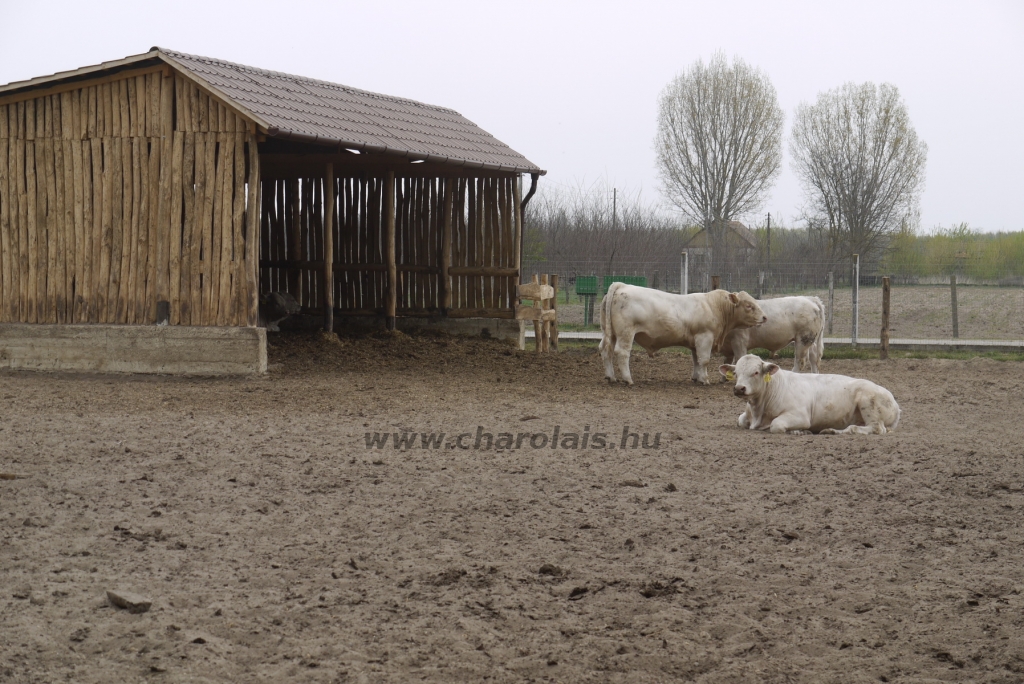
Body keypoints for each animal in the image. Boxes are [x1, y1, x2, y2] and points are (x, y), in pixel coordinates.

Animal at [598, 284, 770, 387]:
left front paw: (696, 378)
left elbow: (696, 360)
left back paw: (610, 377)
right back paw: (628, 379)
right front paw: (705, 379)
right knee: (622, 353)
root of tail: (621, 285)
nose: (764, 317)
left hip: (609, 333)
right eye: (748, 305)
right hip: (626, 333)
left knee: (606, 351)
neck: (714, 306)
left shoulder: (695, 341)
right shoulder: (705, 336)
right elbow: (704, 360)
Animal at [716, 356, 901, 436]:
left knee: (875, 428)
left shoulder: (800, 415)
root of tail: (894, 402)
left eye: (755, 372)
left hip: (868, 404)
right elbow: (740, 420)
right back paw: (830, 430)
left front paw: (799, 431)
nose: (739, 388)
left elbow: (776, 425)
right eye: (736, 373)